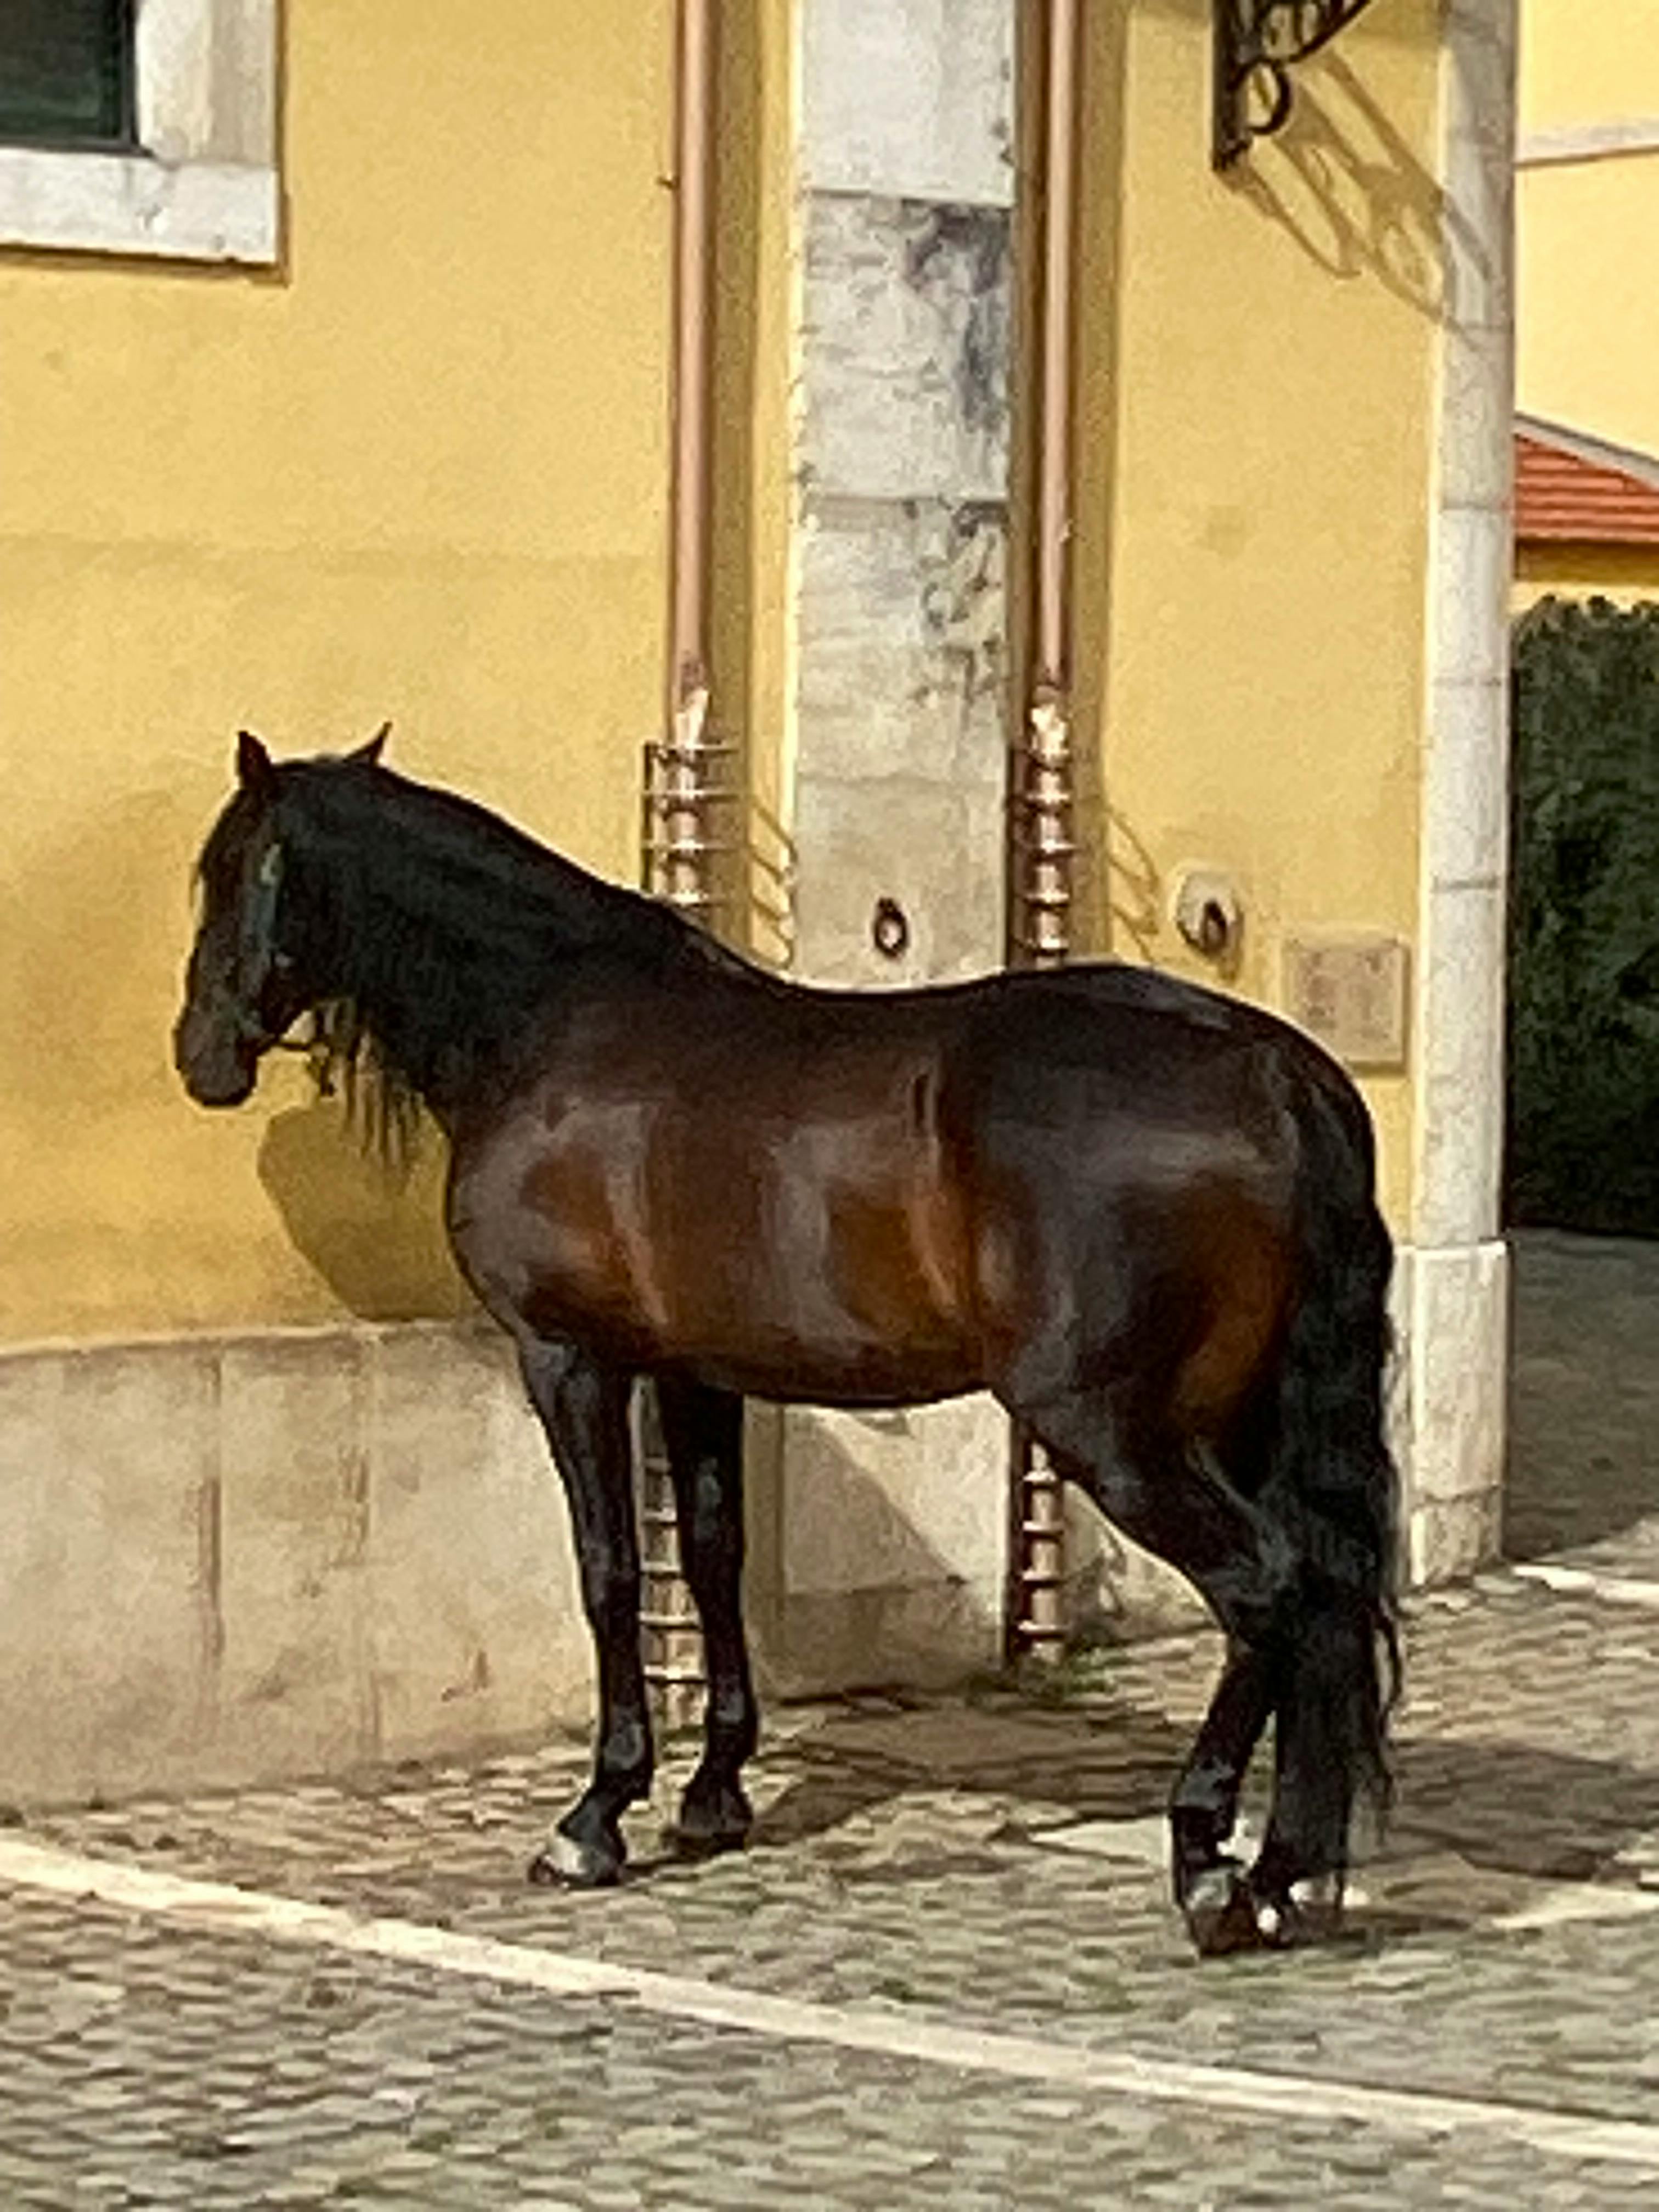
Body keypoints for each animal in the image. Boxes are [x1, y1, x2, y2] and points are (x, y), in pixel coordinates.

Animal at [174, 729, 1400, 1957]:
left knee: (1268, 1592)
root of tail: (1269, 1073)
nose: (200, 1054)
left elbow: (610, 1570)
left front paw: (595, 1815)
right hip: (1236, 1422)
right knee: (1323, 1596)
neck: (549, 1022)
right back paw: (1284, 1869)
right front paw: (713, 1792)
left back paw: (1213, 1867)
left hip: (1113, 1431)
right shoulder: (695, 1372)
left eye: (233, 872)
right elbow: (713, 1556)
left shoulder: (571, 1359)